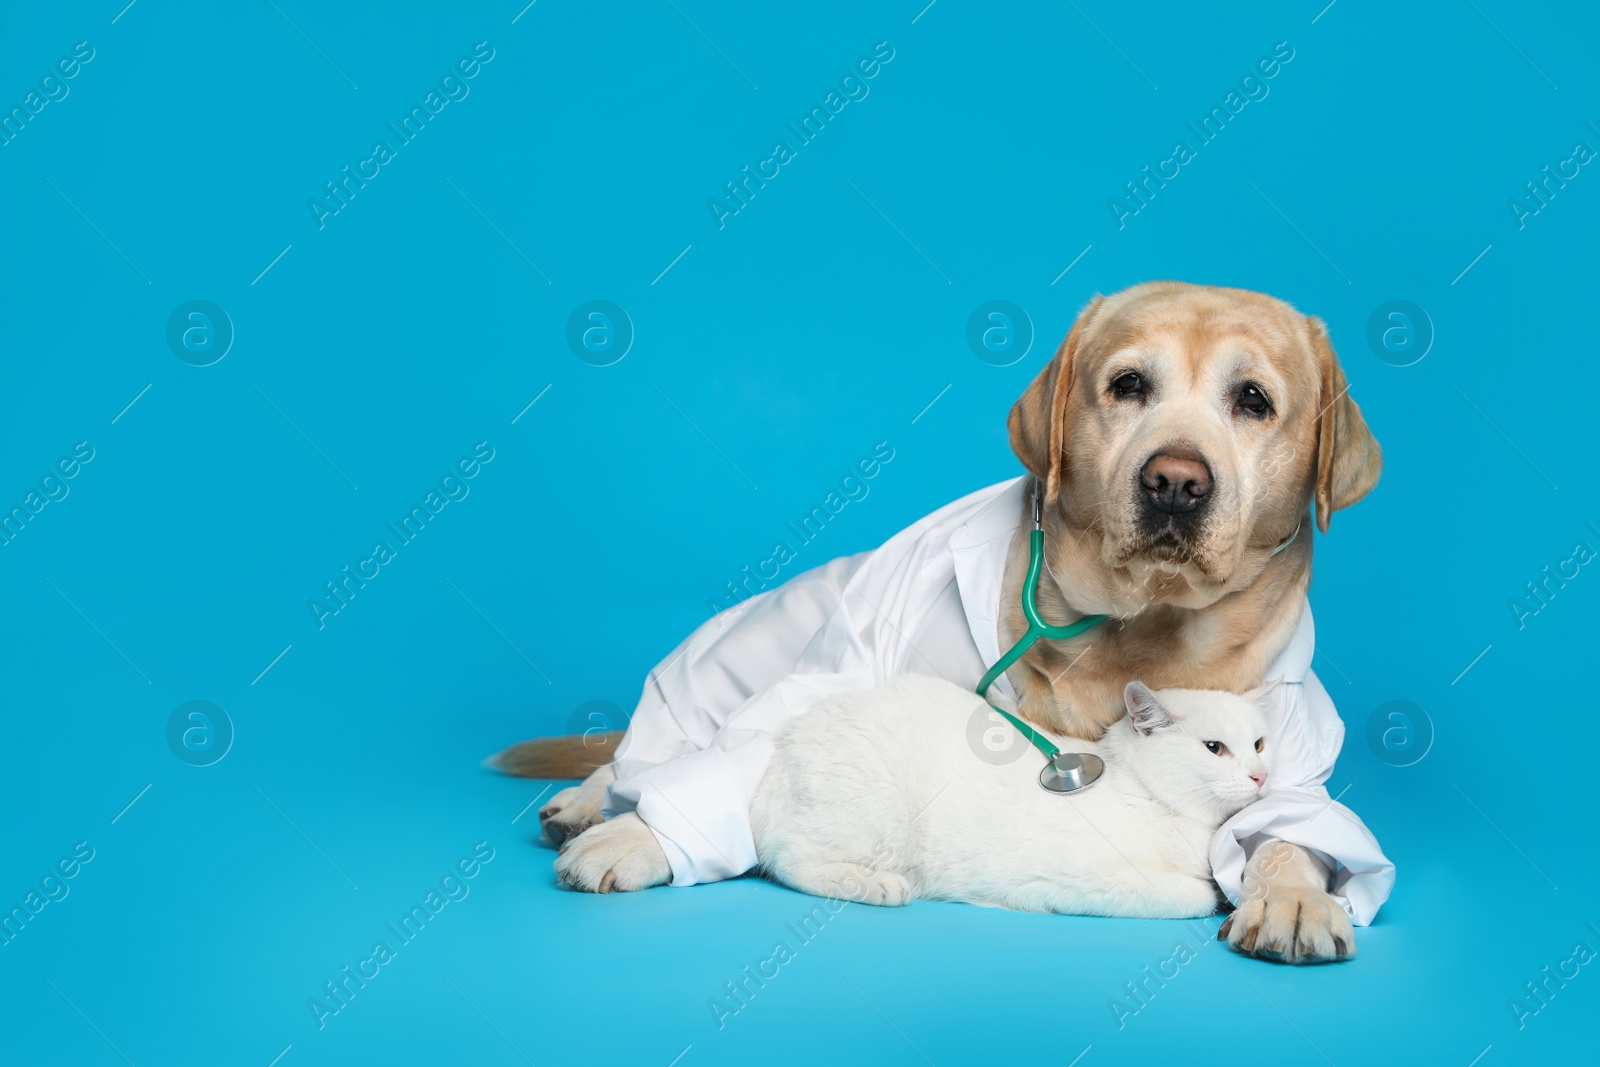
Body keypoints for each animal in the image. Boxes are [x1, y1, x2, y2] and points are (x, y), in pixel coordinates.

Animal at [748, 675, 1273, 921]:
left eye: (1259, 744)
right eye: (1214, 748)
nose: (1261, 776)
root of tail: (781, 750)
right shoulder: (1079, 878)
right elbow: (1198, 895)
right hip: (876, 816)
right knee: (790, 859)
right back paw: (877, 885)